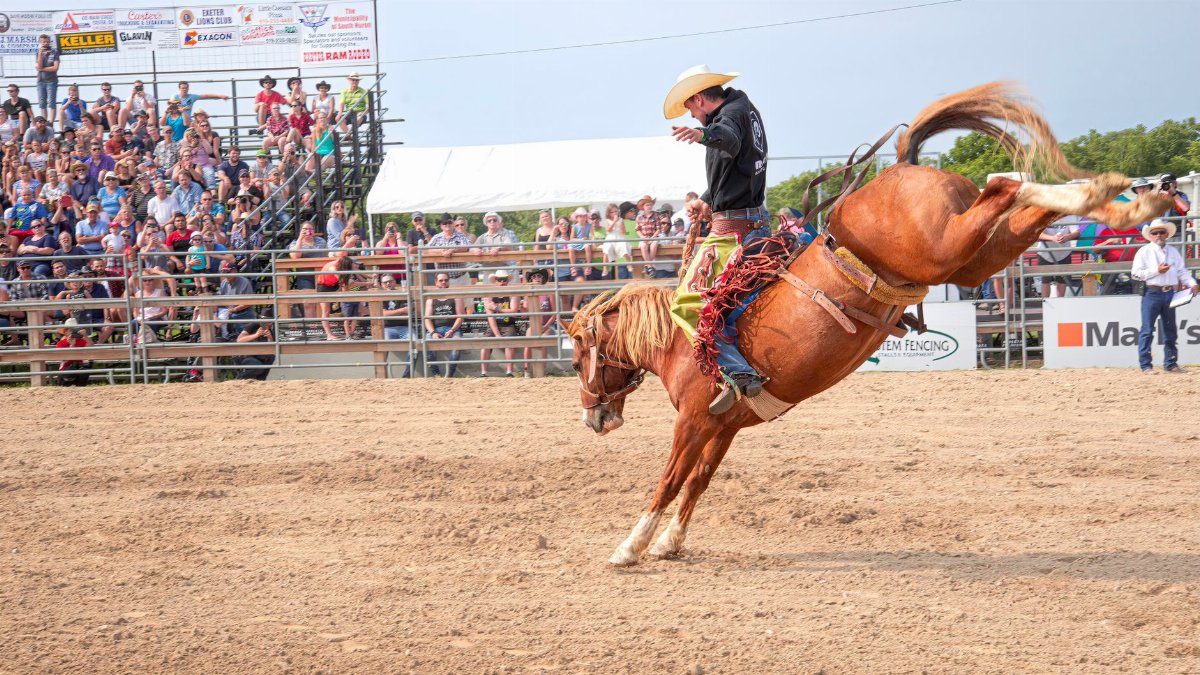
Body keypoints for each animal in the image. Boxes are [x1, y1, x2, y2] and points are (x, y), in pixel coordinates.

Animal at [564, 82, 1173, 567]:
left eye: (576, 359)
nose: (594, 418)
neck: (679, 339)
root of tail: (901, 166)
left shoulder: (693, 420)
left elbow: (670, 480)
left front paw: (630, 547)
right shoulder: (725, 426)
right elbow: (698, 483)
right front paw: (670, 542)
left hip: (945, 248)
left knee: (1006, 185)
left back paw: (1131, 197)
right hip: (971, 257)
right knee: (1021, 203)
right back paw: (1130, 202)